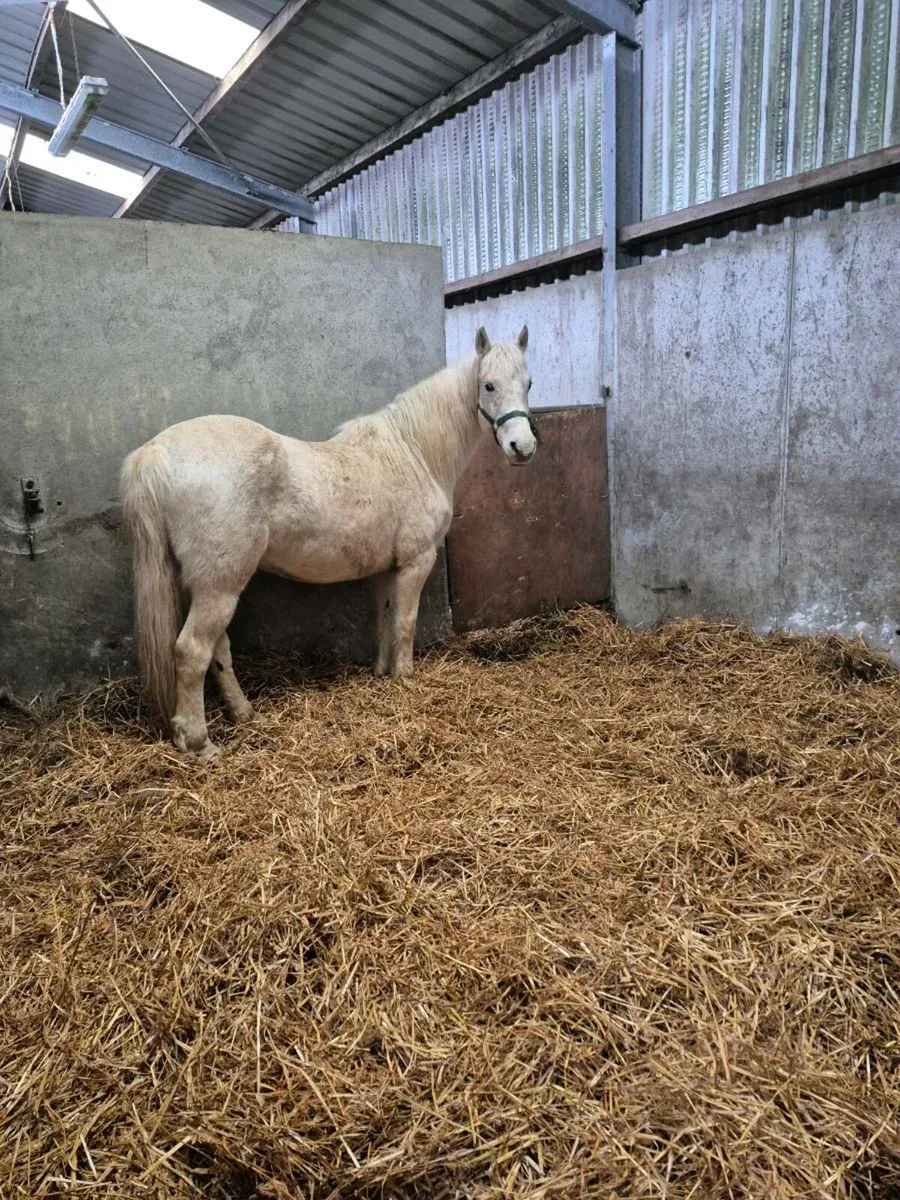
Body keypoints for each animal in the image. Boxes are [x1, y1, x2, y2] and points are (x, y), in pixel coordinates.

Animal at [120, 325, 538, 757]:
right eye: (488, 385)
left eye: (528, 384)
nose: (522, 448)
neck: (414, 453)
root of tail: (155, 452)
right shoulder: (416, 561)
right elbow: (405, 622)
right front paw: (404, 678)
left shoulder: (385, 569)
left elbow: (384, 618)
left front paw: (382, 673)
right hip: (220, 584)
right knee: (192, 651)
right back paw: (199, 741)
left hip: (205, 585)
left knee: (218, 650)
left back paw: (244, 713)